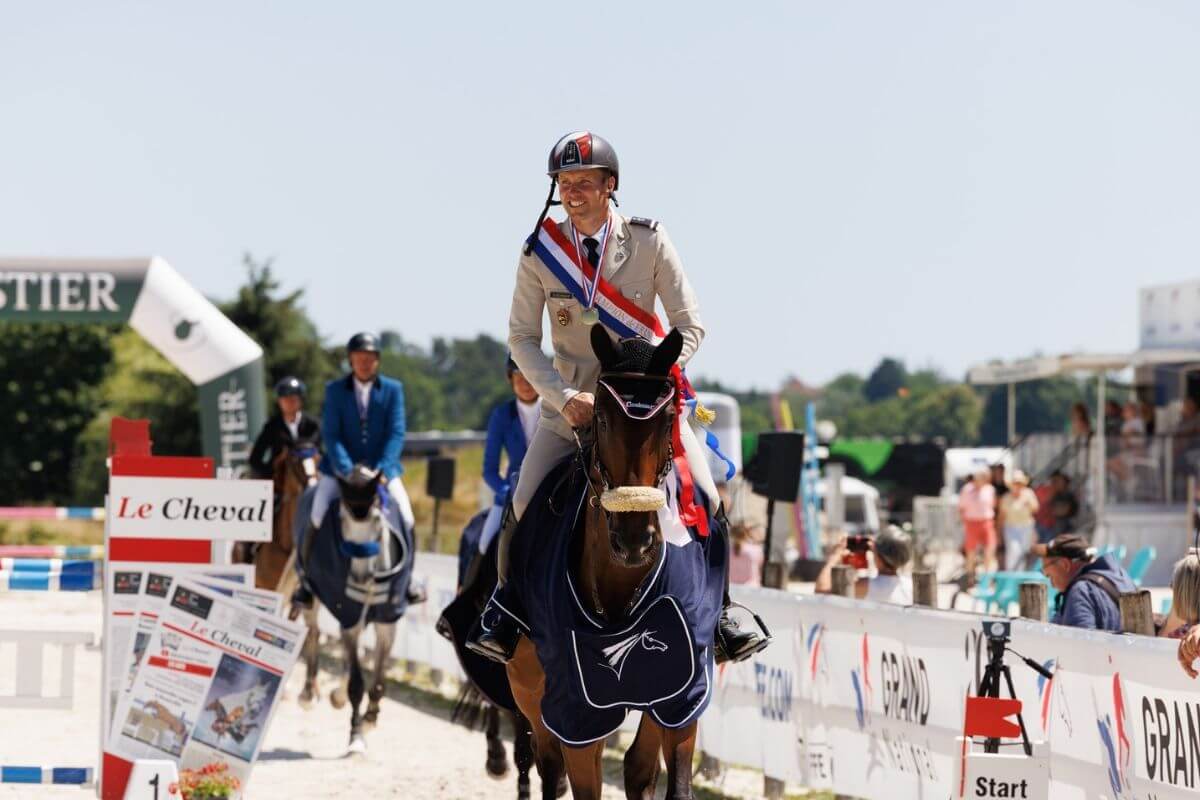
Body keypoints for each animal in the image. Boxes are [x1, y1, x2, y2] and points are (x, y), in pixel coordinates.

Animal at [504, 326, 715, 800]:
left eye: (665, 422)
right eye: (600, 418)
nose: (635, 542)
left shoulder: (682, 687)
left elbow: (669, 779)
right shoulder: (576, 708)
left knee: (637, 768)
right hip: (530, 689)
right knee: (550, 769)